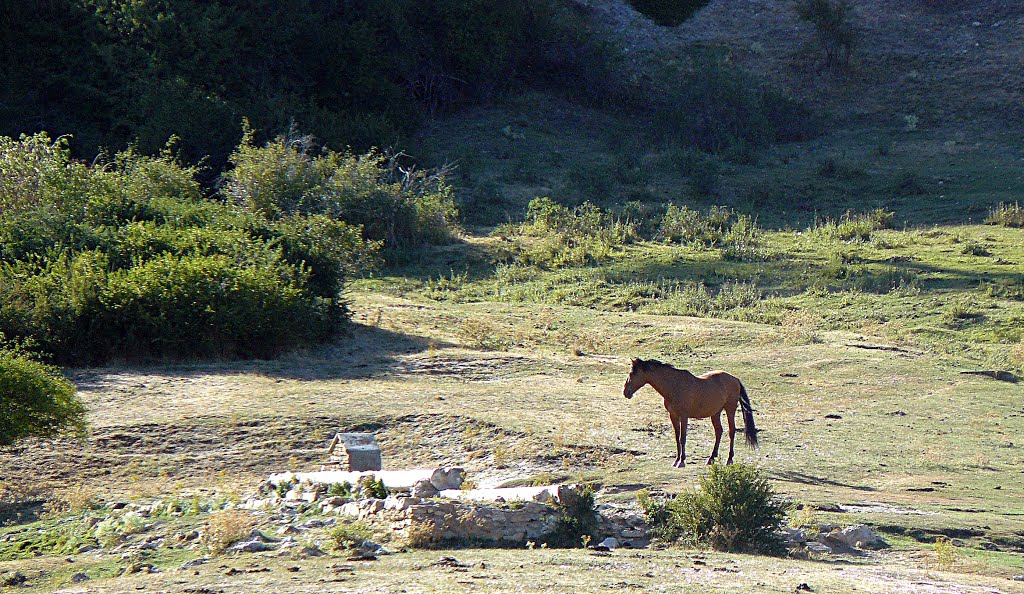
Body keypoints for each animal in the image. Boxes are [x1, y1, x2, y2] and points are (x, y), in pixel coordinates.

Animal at [618, 356, 757, 469]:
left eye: (632, 373)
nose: (625, 392)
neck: (674, 386)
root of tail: (735, 379)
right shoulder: (673, 416)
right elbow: (676, 438)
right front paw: (676, 460)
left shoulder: (684, 417)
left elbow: (682, 438)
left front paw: (682, 461)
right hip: (715, 413)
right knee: (719, 431)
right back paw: (711, 458)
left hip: (730, 409)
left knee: (731, 431)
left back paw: (729, 459)